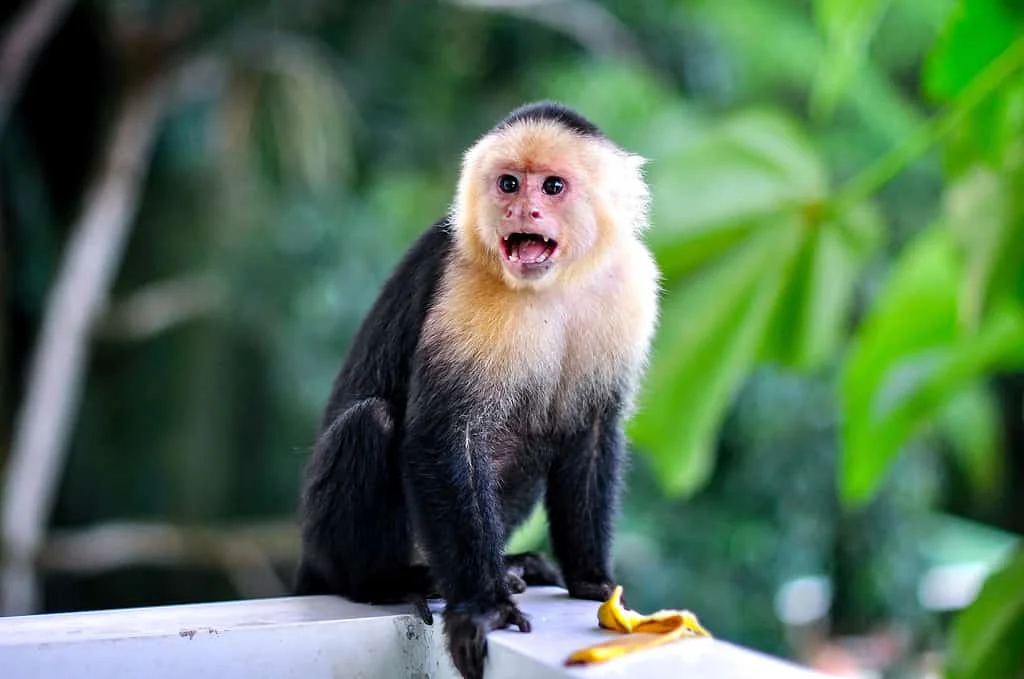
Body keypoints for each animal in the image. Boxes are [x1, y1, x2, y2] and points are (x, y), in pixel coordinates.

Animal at [294, 101, 660, 679]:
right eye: (509, 183)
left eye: (552, 187)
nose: (522, 212)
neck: (554, 283)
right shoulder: (465, 278)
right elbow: (443, 435)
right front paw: (484, 607)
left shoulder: (631, 285)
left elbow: (593, 430)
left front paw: (592, 579)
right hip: (325, 543)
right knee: (371, 423)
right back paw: (389, 581)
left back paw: (511, 564)